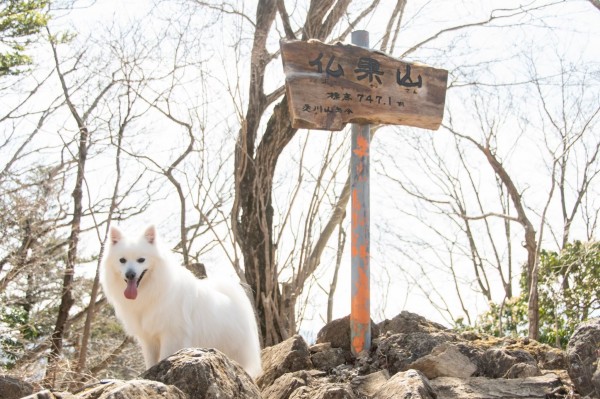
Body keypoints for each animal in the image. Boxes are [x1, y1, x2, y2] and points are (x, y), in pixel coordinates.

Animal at [99, 225, 262, 378]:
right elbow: (151, 361)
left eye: (141, 260)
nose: (130, 274)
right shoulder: (148, 338)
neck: (150, 291)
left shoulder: (170, 335)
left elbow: (164, 357)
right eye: (122, 260)